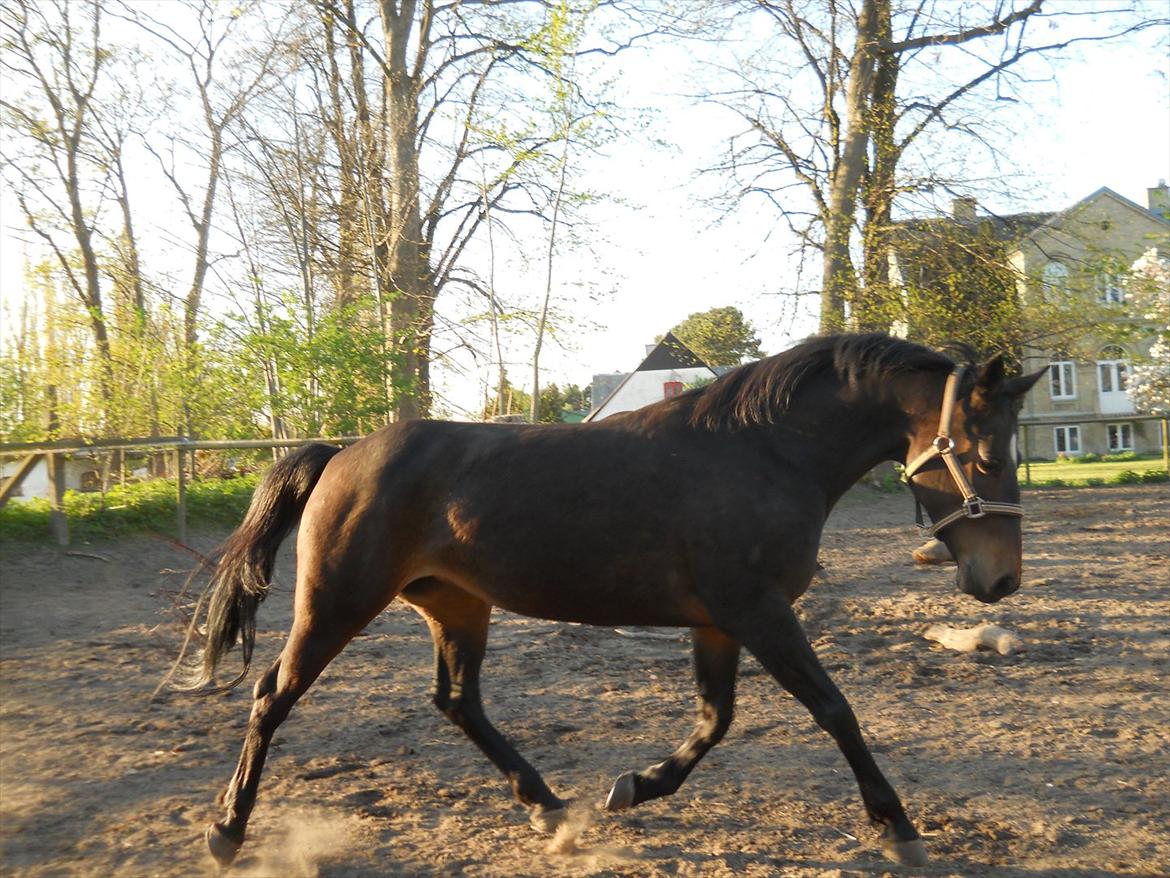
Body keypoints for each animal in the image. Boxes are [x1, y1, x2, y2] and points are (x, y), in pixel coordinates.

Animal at [187, 332, 1048, 870]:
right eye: (980, 454)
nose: (1000, 580)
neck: (764, 452)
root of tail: (343, 453)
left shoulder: (719, 620)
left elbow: (715, 719)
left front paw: (634, 787)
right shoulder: (758, 611)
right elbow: (834, 710)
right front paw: (898, 827)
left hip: (458, 606)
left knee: (458, 701)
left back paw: (550, 810)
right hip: (337, 602)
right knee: (271, 696)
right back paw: (227, 831)